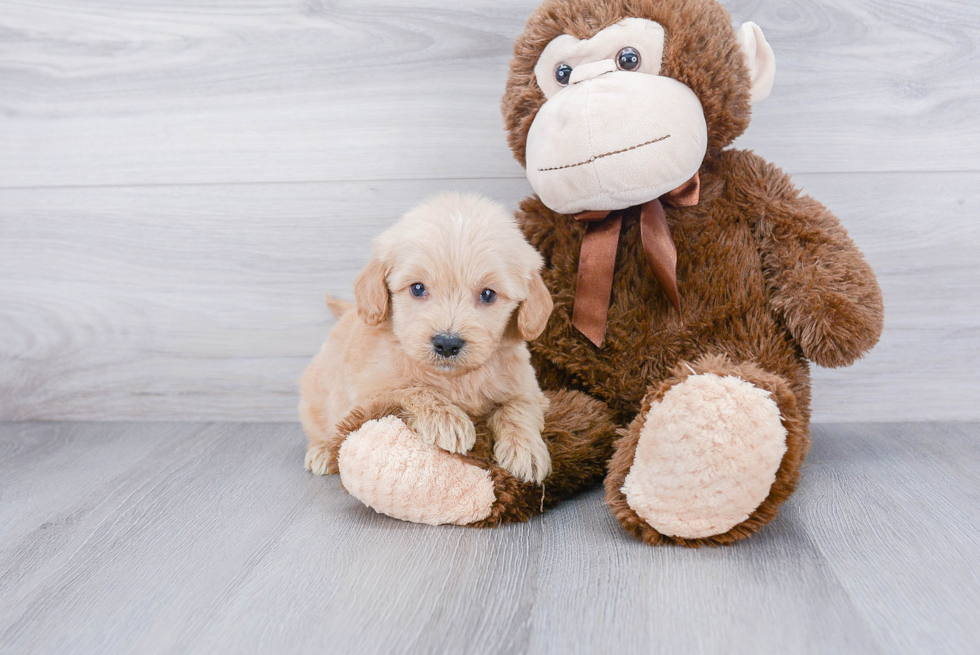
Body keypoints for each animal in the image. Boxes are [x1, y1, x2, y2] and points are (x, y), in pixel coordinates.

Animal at [298, 192, 556, 484]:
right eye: (417, 288)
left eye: (488, 294)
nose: (447, 343)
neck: (454, 379)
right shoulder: (368, 394)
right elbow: (412, 389)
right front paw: (447, 419)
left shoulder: (527, 386)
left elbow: (519, 407)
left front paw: (526, 450)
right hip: (316, 397)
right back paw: (321, 451)